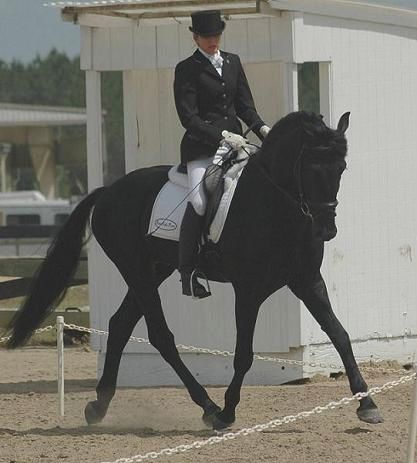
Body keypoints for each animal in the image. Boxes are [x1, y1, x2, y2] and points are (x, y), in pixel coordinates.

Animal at [4, 110, 382, 430]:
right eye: (311, 169)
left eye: (341, 169)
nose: (326, 229)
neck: (276, 205)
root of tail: (108, 191)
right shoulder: (249, 290)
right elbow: (243, 354)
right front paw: (228, 412)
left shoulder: (306, 281)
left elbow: (340, 335)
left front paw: (367, 404)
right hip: (136, 271)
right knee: (160, 336)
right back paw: (209, 408)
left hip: (154, 270)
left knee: (121, 324)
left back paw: (99, 406)